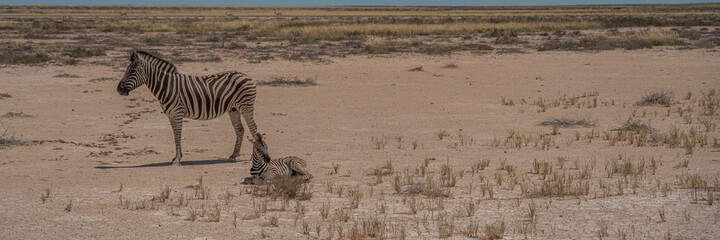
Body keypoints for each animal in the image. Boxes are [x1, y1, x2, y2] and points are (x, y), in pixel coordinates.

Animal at [115, 50, 256, 166]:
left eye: (132, 71)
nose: (119, 89)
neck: (167, 86)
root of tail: (246, 75)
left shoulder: (177, 112)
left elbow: (178, 135)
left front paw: (177, 159)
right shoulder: (171, 115)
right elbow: (175, 135)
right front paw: (177, 157)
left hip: (246, 106)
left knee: (253, 127)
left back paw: (252, 157)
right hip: (233, 109)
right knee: (240, 129)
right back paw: (234, 155)